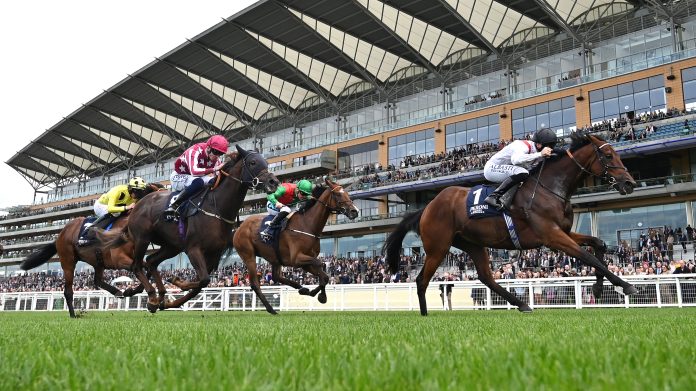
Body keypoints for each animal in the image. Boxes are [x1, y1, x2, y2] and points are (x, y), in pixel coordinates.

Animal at [20, 184, 164, 318]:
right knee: (68, 291)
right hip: (68, 261)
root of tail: (60, 235)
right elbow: (140, 268)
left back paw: (117, 292)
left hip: (98, 261)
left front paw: (133, 291)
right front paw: (149, 298)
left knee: (97, 281)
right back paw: (73, 315)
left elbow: (146, 268)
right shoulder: (119, 259)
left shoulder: (134, 257)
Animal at [98, 145, 278, 314]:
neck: (216, 206)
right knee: (137, 265)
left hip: (172, 246)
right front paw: (175, 283)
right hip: (142, 238)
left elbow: (201, 283)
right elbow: (203, 280)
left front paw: (172, 296)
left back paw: (157, 296)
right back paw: (150, 296)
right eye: (253, 162)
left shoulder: (214, 254)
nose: (273, 182)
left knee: (151, 261)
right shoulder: (193, 249)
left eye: (266, 162)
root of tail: (140, 202)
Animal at [231, 178, 358, 316]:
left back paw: (301, 288)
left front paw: (317, 294)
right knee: (255, 283)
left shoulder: (305, 261)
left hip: (275, 258)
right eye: (338, 194)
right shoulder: (297, 259)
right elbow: (321, 265)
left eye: (347, 193)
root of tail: (239, 227)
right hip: (248, 255)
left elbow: (324, 276)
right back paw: (271, 309)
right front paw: (318, 294)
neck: (307, 224)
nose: (355, 211)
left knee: (276, 277)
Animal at [384, 133, 640, 316]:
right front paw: (625, 285)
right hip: (438, 247)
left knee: (486, 277)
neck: (550, 188)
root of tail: (427, 207)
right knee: (421, 280)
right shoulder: (552, 236)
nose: (630, 183)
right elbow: (587, 256)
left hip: (472, 244)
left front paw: (598, 287)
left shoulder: (564, 231)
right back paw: (424, 314)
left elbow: (598, 245)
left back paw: (522, 304)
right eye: (609, 156)